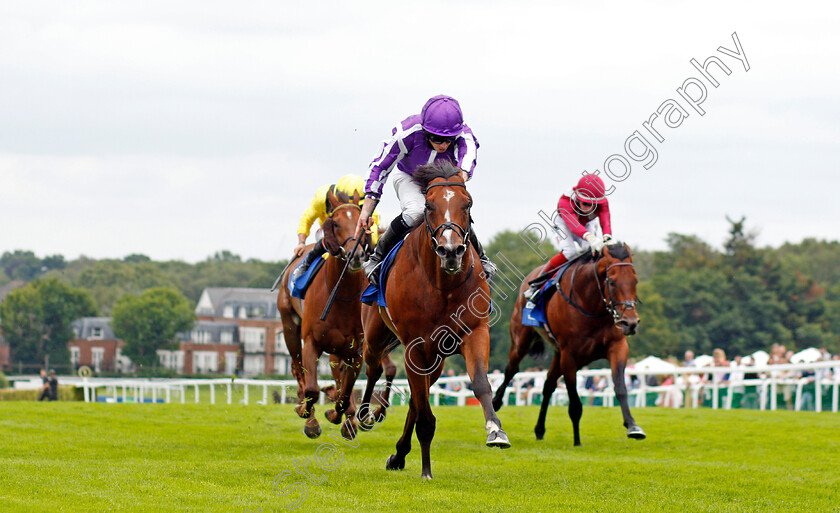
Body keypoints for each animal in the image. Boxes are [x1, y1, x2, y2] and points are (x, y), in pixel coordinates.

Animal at [278, 188, 370, 436]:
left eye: (363, 223)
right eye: (335, 223)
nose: (356, 255)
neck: (341, 295)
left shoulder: (356, 351)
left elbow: (345, 392)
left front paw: (340, 415)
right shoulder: (311, 342)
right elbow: (311, 388)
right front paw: (308, 418)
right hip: (289, 326)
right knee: (298, 368)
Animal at [358, 162, 508, 478]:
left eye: (468, 204)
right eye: (429, 205)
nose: (450, 251)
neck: (443, 284)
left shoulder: (474, 332)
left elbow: (480, 384)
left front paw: (495, 430)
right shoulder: (414, 344)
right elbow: (423, 412)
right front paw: (426, 469)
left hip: (437, 357)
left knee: (417, 397)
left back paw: (399, 454)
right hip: (376, 335)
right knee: (374, 368)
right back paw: (363, 417)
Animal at [488, 243, 648, 444]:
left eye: (635, 281)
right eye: (611, 282)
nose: (630, 323)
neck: (591, 305)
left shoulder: (617, 347)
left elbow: (620, 388)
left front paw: (633, 426)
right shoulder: (569, 355)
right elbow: (575, 404)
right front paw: (577, 441)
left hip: (558, 353)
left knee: (548, 385)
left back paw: (539, 430)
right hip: (522, 341)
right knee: (512, 369)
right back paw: (495, 402)